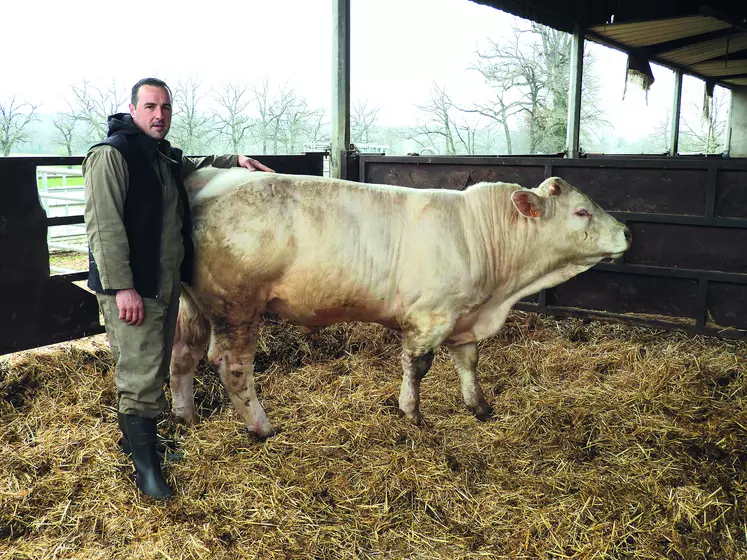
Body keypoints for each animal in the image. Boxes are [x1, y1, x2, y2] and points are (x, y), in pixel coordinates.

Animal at [168, 171, 632, 438]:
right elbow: (418, 367)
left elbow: (469, 362)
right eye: (581, 212)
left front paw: (480, 407)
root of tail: (207, 182)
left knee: (183, 356)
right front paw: (413, 414)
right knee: (233, 368)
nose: (628, 232)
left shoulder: (463, 316)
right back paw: (261, 427)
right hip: (237, 307)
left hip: (194, 307)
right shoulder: (430, 317)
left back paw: (185, 416)